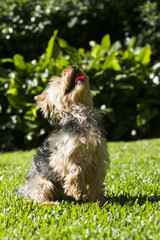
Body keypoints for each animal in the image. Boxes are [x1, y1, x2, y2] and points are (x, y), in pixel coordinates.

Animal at [17, 66, 110, 206]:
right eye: (58, 81)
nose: (73, 67)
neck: (80, 114)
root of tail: (24, 190)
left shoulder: (98, 156)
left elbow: (97, 180)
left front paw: (98, 200)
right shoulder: (59, 158)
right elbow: (76, 169)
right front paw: (78, 191)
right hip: (42, 182)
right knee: (37, 198)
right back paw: (50, 203)